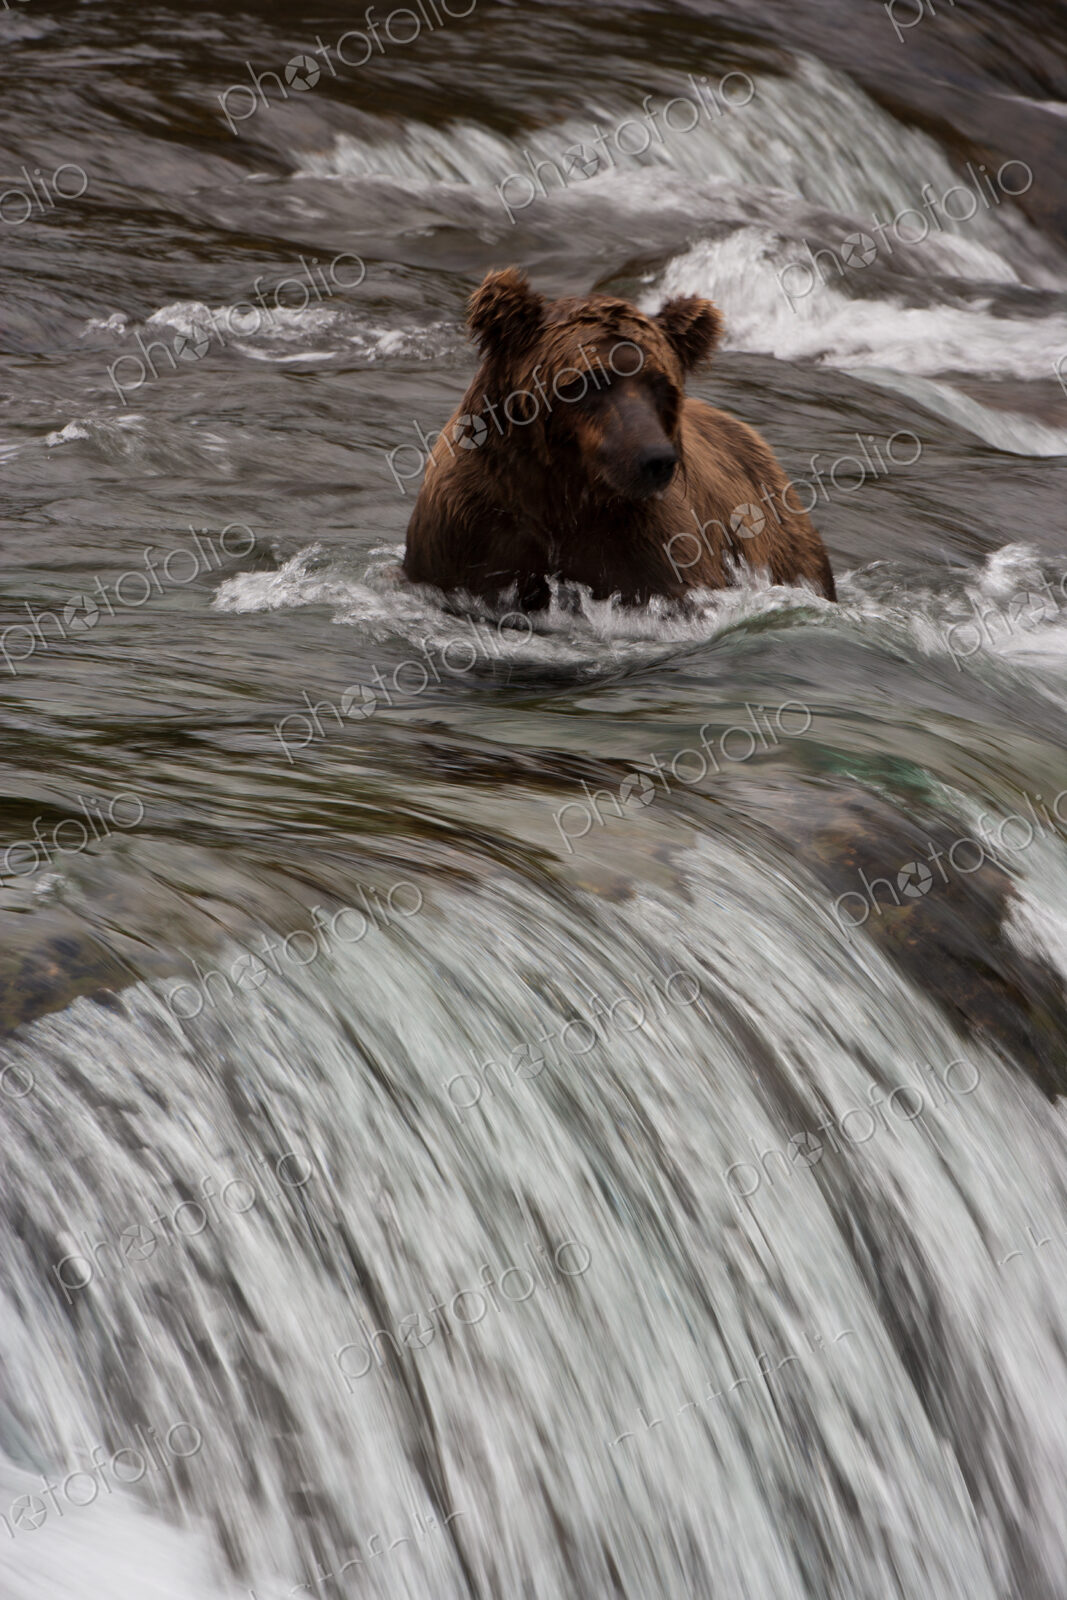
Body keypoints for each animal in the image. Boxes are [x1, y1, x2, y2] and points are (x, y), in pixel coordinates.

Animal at [402, 268, 836, 608]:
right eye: (588, 380)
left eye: (661, 385)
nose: (655, 460)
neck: (561, 493)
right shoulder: (469, 530)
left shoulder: (646, 545)